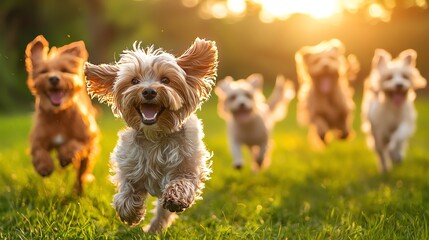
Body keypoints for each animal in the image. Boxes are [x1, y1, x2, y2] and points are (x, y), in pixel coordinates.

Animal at [24, 34, 98, 194]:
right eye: (43, 72)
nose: (53, 78)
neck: (58, 115)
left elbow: (74, 144)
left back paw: (78, 191)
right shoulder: (38, 139)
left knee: (81, 173)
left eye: (64, 70)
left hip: (88, 155)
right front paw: (44, 166)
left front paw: (65, 155)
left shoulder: (86, 138)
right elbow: (39, 151)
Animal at [83, 39, 217, 232]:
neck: (156, 136)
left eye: (166, 80)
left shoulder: (188, 164)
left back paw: (155, 229)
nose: (148, 91)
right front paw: (131, 212)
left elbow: (183, 181)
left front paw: (176, 198)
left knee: (163, 212)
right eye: (134, 81)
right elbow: (127, 189)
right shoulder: (129, 164)